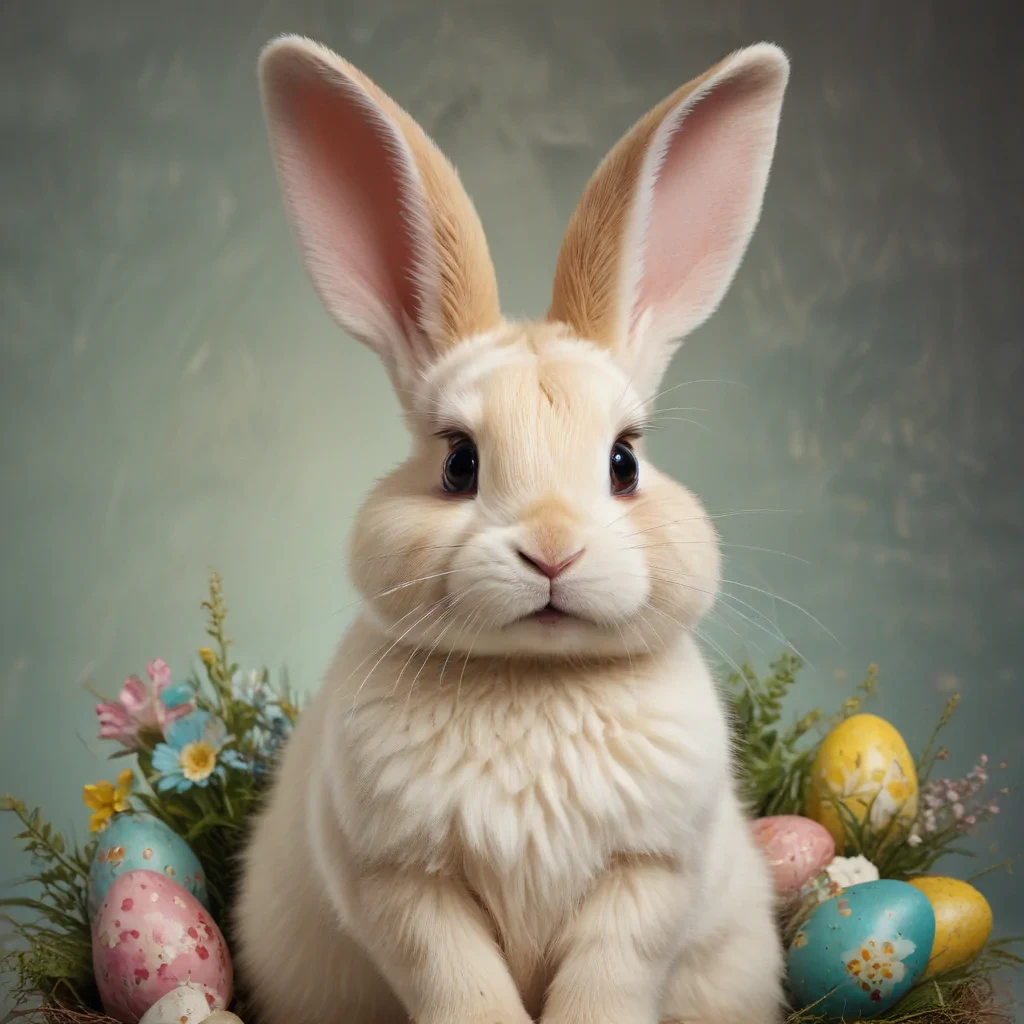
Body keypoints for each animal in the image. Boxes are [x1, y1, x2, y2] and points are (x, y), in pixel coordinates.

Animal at [235, 32, 790, 1024]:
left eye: (625, 462)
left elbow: (611, 971)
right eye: (459, 463)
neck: (535, 679)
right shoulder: (398, 883)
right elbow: (457, 978)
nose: (553, 551)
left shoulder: (652, 872)